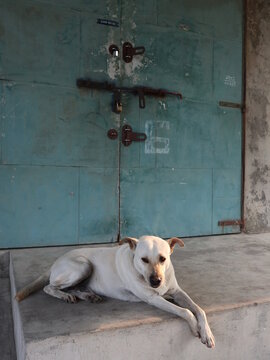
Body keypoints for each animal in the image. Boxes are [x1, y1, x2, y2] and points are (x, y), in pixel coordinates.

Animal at [16, 235, 215, 348]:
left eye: (163, 258)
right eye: (144, 259)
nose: (156, 282)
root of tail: (55, 263)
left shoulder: (177, 292)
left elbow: (199, 310)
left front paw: (207, 333)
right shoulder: (153, 298)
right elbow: (186, 311)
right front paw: (195, 327)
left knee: (75, 288)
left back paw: (87, 295)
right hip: (82, 265)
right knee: (49, 287)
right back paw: (65, 295)